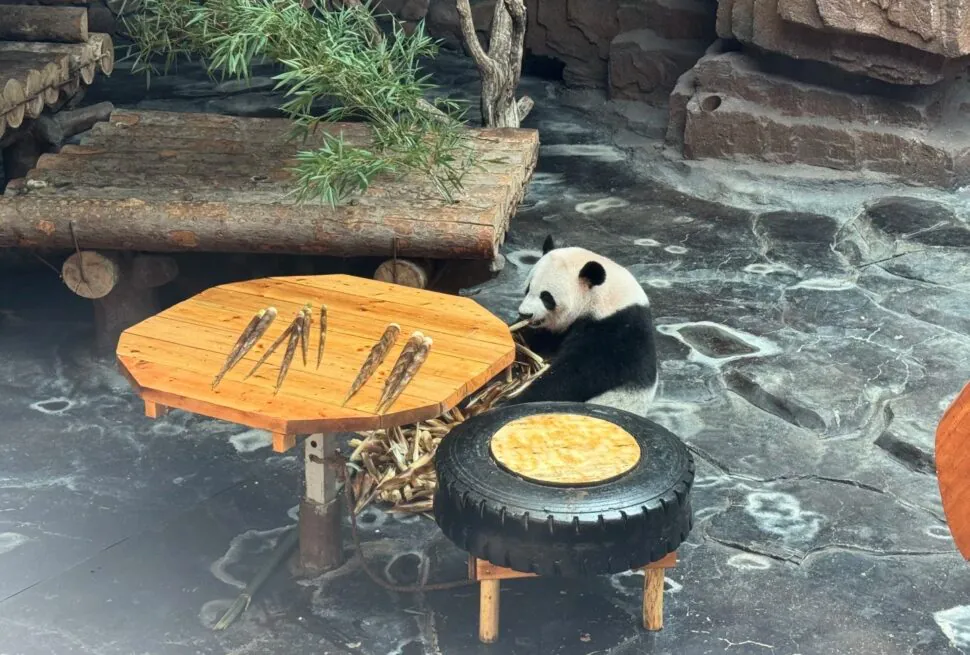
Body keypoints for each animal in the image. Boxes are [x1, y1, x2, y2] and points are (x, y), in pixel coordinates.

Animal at [501, 235, 658, 417]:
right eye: (527, 289)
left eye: (546, 297)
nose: (525, 314)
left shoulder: (614, 332)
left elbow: (575, 375)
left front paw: (514, 400)